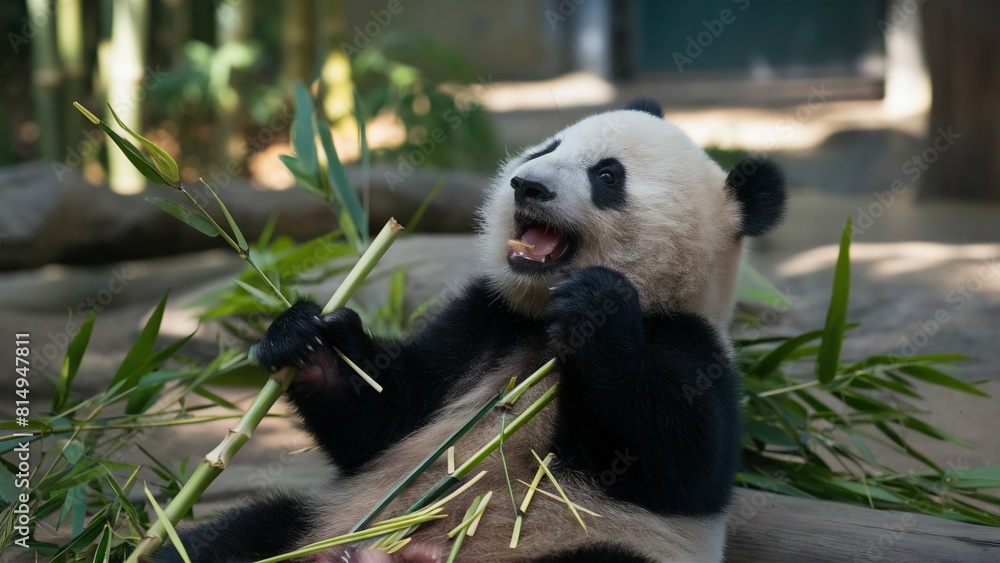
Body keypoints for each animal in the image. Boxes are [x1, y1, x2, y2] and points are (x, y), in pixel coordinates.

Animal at [159, 99, 786, 562]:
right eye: (548, 148)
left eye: (607, 176)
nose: (527, 185)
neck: (540, 318)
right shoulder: (485, 320)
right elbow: (387, 416)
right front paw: (305, 336)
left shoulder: (694, 347)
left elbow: (673, 459)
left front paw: (598, 309)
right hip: (318, 527)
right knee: (228, 538)